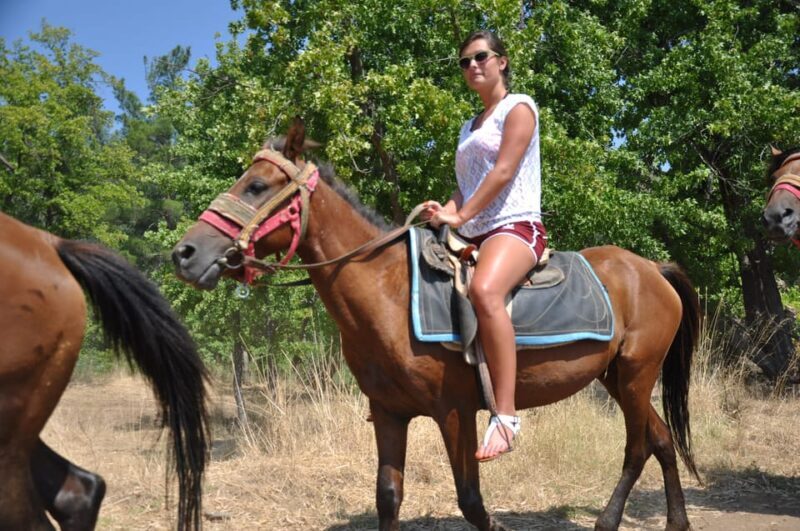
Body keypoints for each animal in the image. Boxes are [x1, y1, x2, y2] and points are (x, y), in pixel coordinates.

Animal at [172, 118, 701, 531]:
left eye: (256, 186)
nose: (185, 253)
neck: (387, 290)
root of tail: (652, 269)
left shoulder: (454, 411)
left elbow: (472, 503)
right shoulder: (388, 412)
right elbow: (388, 498)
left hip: (635, 375)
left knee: (637, 447)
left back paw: (609, 520)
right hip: (617, 377)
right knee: (660, 440)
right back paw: (676, 521)